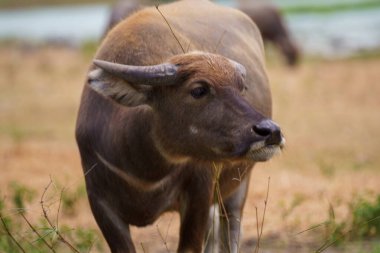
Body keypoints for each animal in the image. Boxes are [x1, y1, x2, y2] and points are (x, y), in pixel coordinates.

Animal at [75, 0, 284, 252]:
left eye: (241, 87)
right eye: (199, 90)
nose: (271, 132)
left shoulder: (200, 195)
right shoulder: (100, 203)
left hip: (238, 185)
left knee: (230, 231)